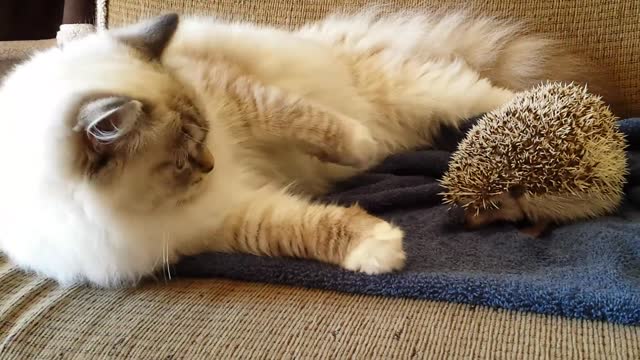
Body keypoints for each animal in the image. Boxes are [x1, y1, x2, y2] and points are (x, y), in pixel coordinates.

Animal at [0, 9, 612, 288]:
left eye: (203, 136)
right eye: (183, 160)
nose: (212, 165)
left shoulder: (239, 96)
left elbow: (308, 120)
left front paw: (360, 149)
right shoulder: (217, 222)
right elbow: (299, 229)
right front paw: (375, 247)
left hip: (429, 90)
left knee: (492, 94)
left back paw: (552, 115)